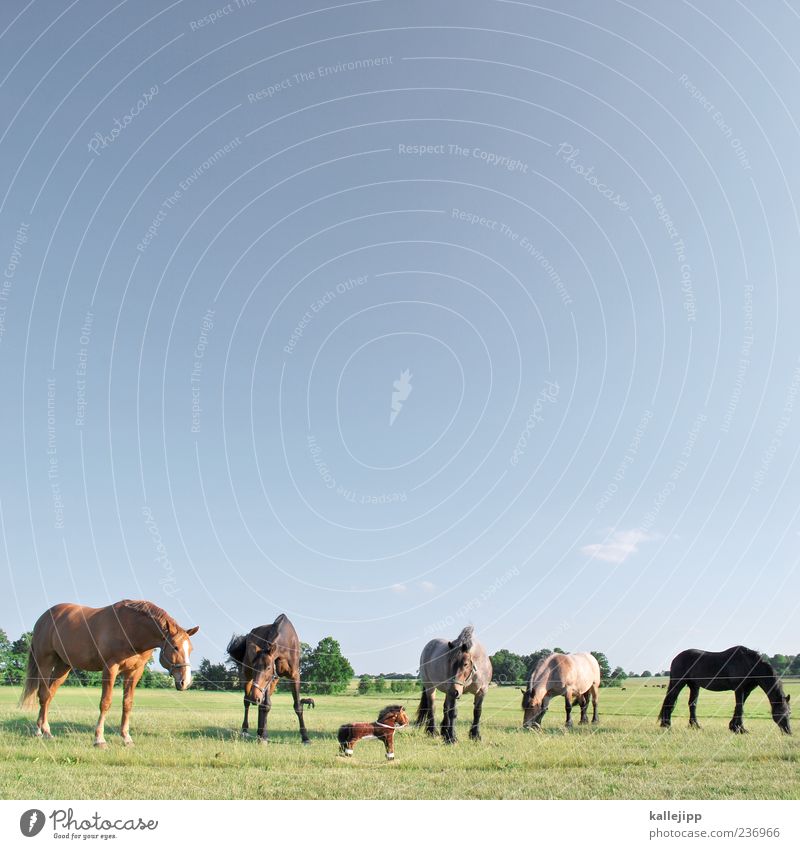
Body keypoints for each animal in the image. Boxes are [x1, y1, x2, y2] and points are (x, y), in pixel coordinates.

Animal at [18, 600, 198, 744]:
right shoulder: (110, 668)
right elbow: (105, 702)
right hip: (45, 662)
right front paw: (99, 739)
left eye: (190, 649)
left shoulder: (134, 672)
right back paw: (42, 731)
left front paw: (126, 737)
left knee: (49, 695)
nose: (185, 681)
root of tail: (44, 618)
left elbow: (127, 703)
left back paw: (43, 730)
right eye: (175, 647)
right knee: (43, 695)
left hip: (64, 666)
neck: (131, 629)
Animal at [228, 608, 312, 744]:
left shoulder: (294, 676)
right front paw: (264, 735)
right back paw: (246, 730)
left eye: (268, 668)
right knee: (247, 701)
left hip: (272, 682)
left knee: (259, 704)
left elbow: (298, 706)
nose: (255, 697)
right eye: (255, 666)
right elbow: (266, 705)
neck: (286, 643)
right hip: (247, 676)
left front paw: (305, 738)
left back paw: (259, 732)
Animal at [660, 644, 792, 732]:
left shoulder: (746, 690)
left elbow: (739, 707)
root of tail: (676, 658)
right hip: (678, 683)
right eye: (780, 712)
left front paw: (734, 727)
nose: (788, 731)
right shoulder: (739, 689)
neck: (750, 665)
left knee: (692, 705)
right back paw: (666, 725)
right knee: (670, 702)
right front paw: (740, 729)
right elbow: (740, 708)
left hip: (694, 686)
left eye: (789, 712)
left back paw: (695, 726)